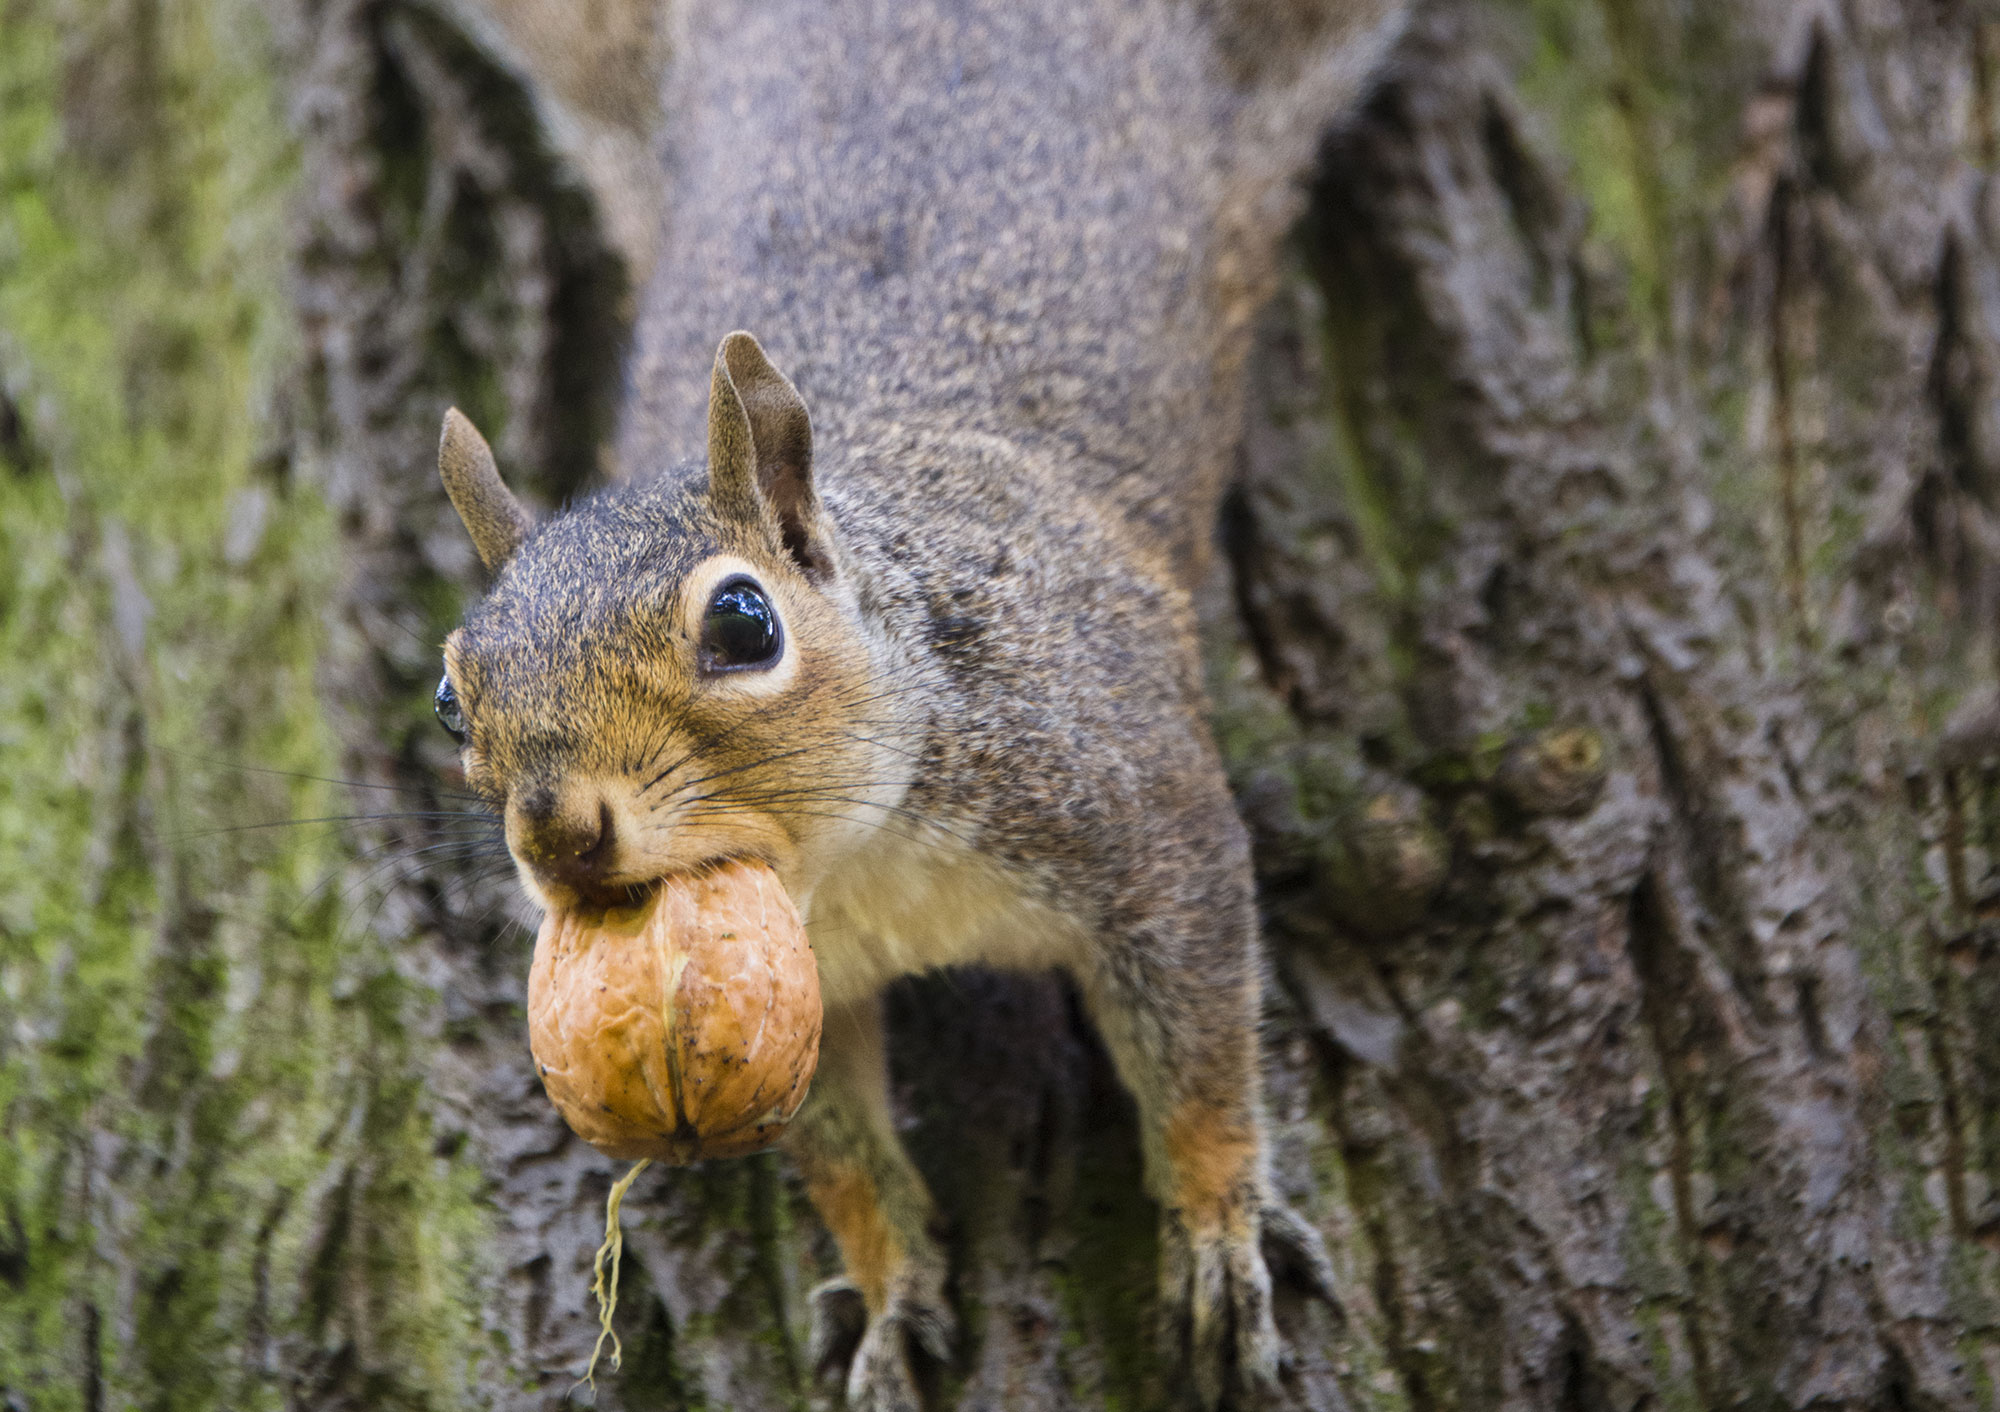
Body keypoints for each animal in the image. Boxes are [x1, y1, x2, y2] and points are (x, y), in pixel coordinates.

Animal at [436, 5, 1408, 1400]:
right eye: (449, 699)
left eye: (744, 624)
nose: (558, 836)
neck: (858, 859)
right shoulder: (805, 991)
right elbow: (837, 1148)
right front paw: (892, 1285)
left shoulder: (1140, 818)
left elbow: (1199, 1043)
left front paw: (1219, 1227)